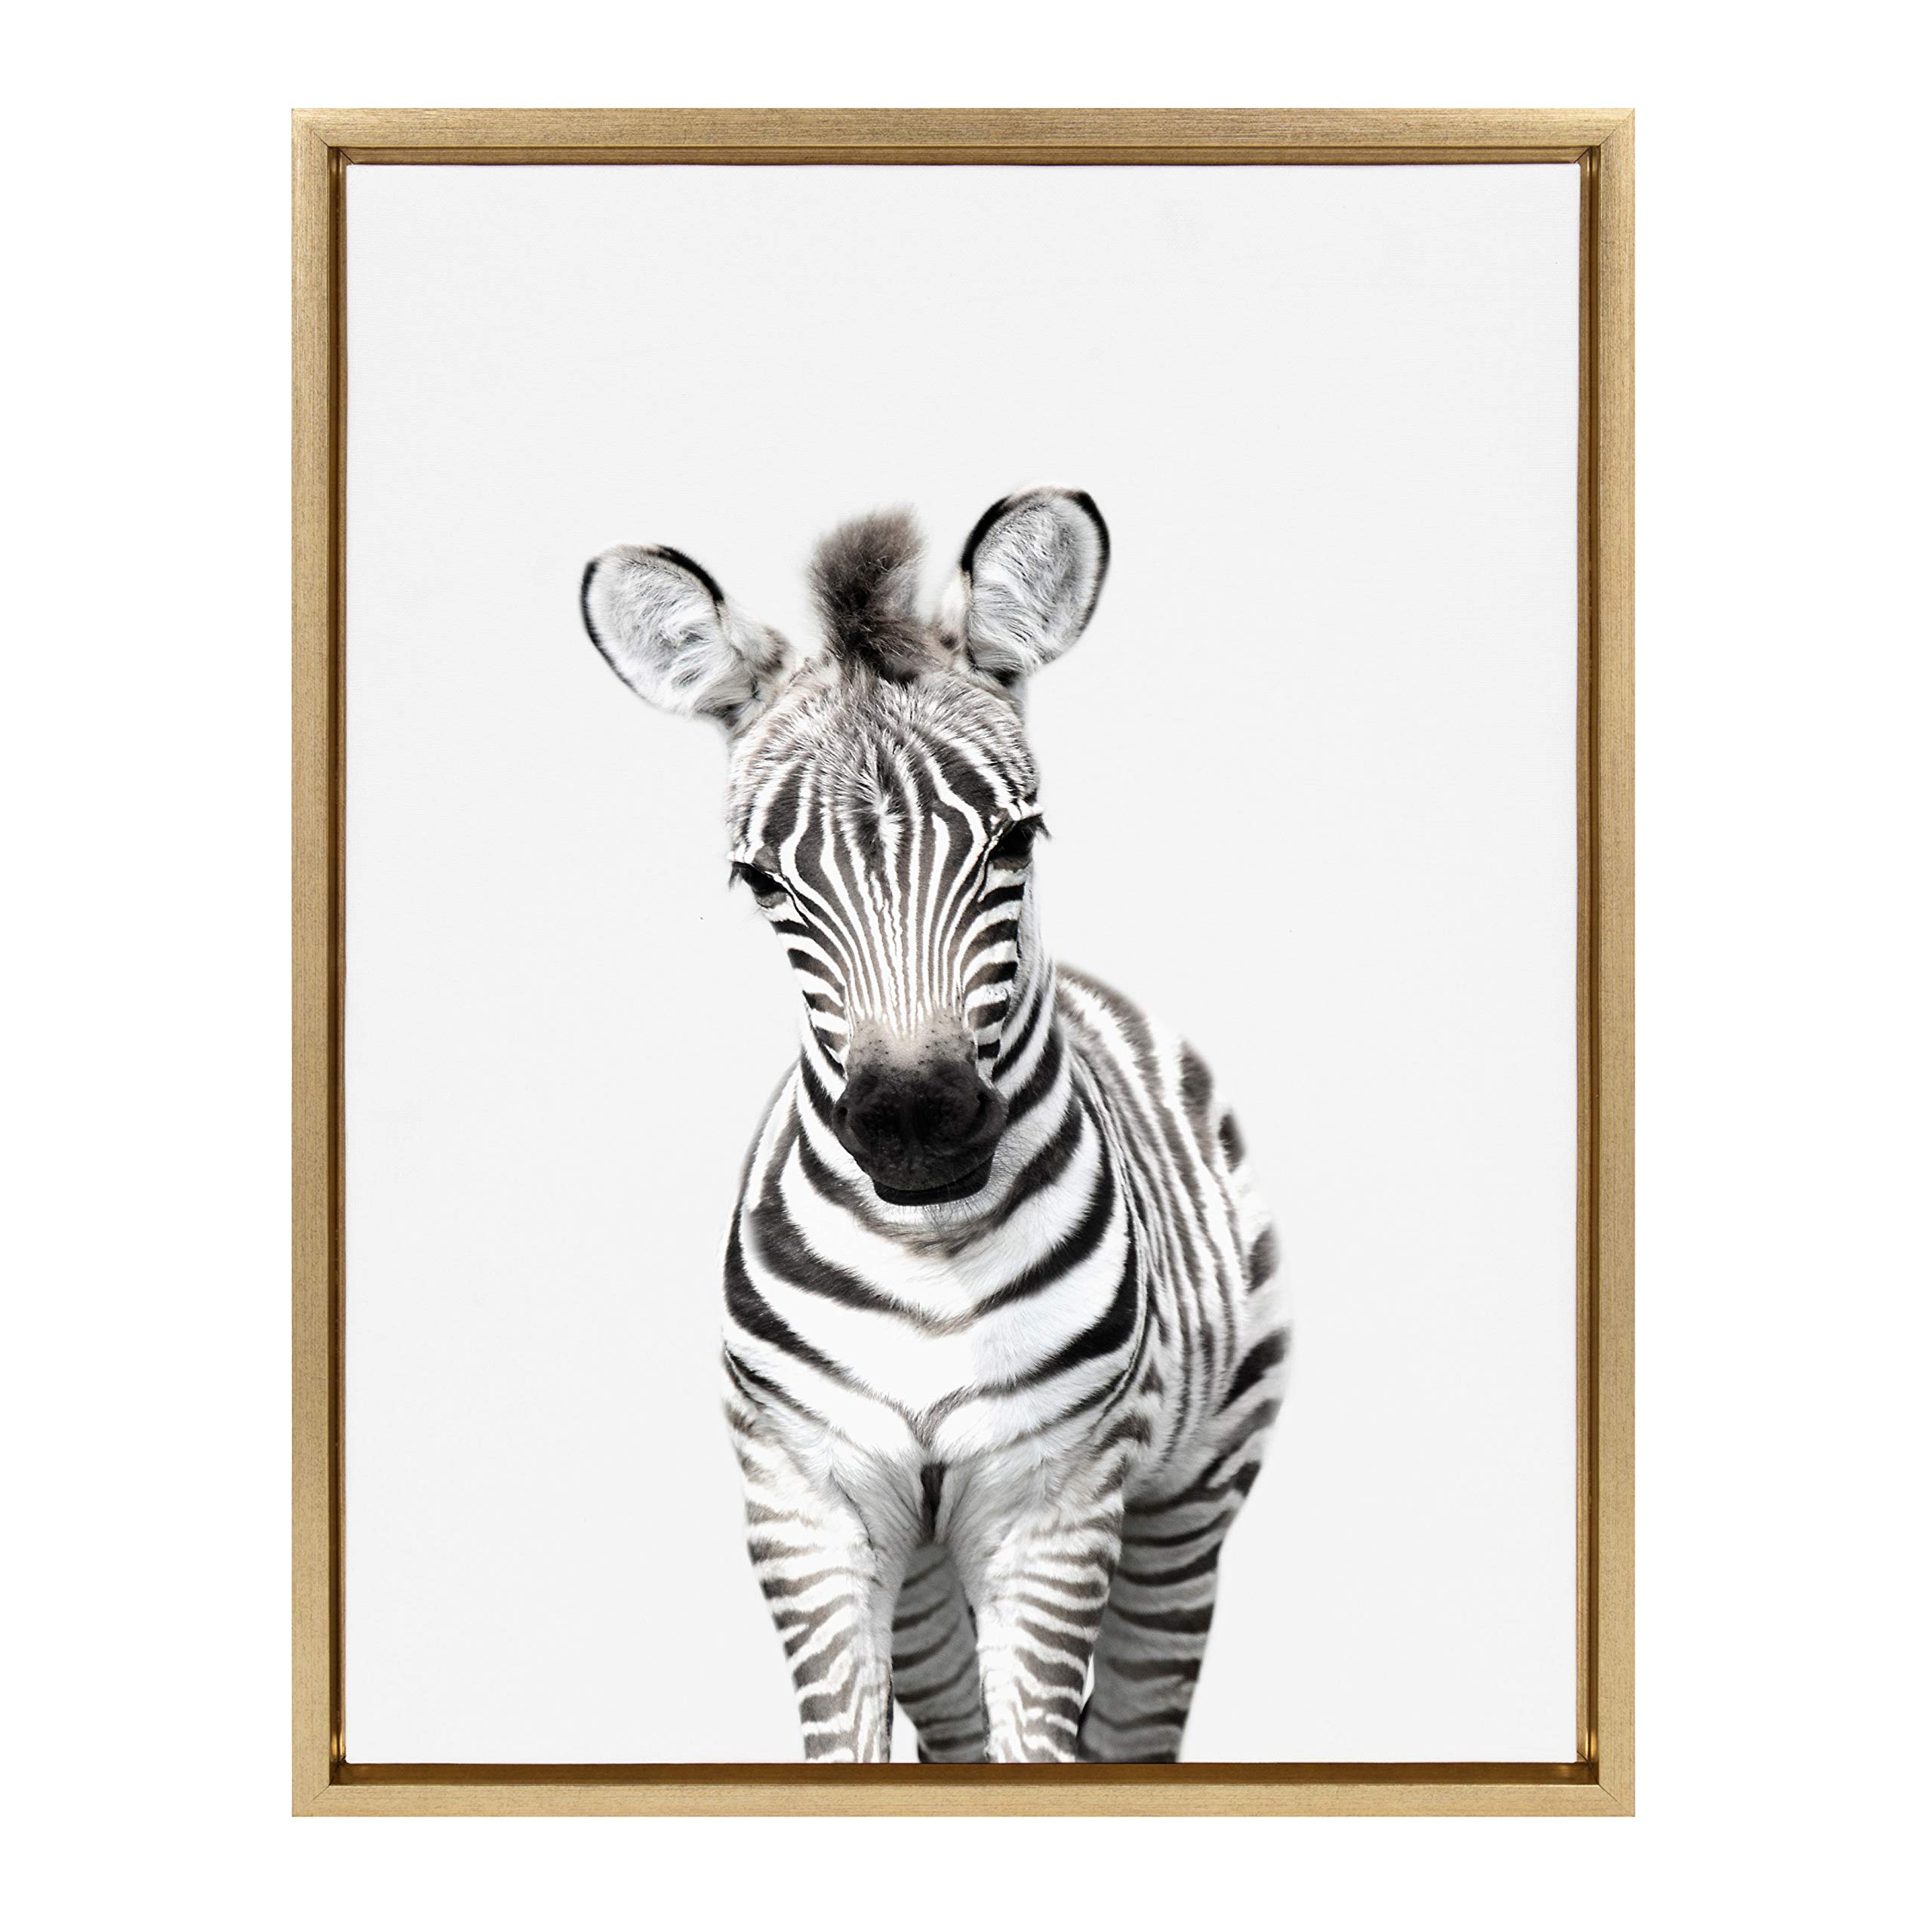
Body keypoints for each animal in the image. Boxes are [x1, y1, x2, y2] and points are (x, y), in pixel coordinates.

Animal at [580, 488, 1288, 1764]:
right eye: (762, 882)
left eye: (1017, 841)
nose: (917, 1128)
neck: (930, 1260)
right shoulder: (805, 1500)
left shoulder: (1055, 1504)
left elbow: (1043, 1747)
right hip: (918, 1571)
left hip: (1192, 1494)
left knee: (1135, 1723)